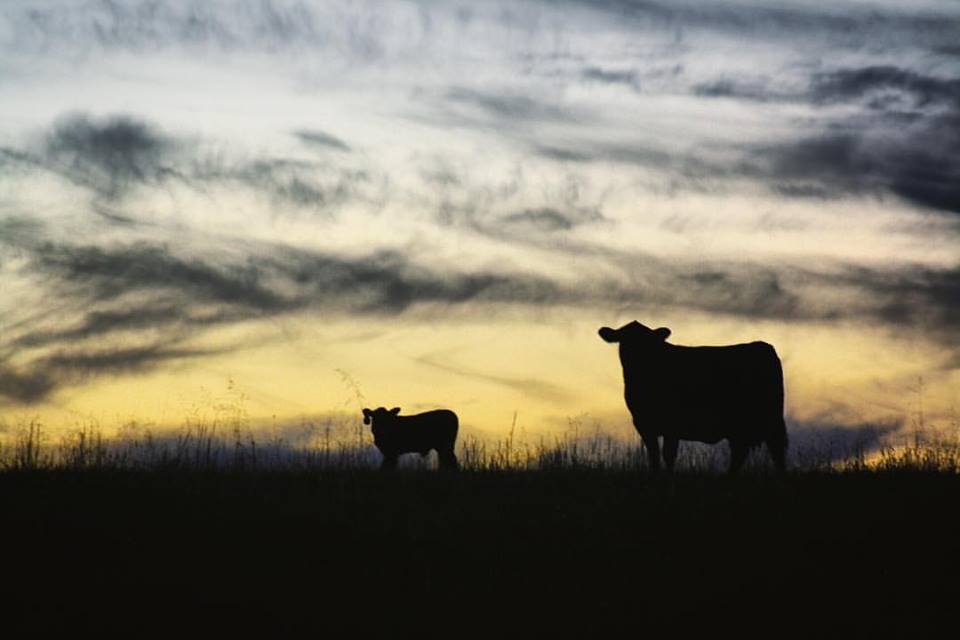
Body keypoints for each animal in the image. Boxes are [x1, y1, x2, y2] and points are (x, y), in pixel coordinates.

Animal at [598, 321, 787, 473]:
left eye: (646, 341)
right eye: (624, 339)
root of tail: (763, 346)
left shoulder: (671, 425)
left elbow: (668, 455)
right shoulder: (644, 424)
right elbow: (654, 456)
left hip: (769, 419)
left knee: (776, 450)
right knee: (740, 452)